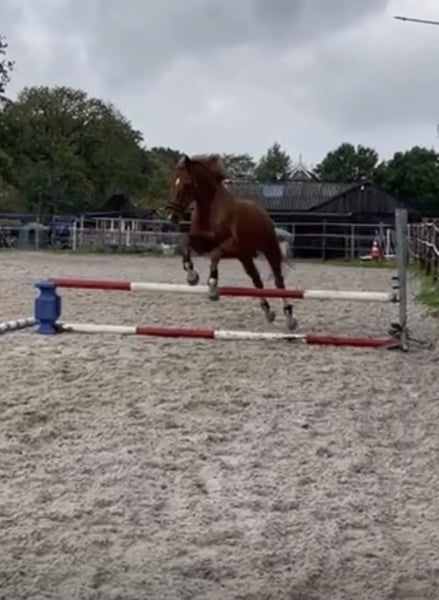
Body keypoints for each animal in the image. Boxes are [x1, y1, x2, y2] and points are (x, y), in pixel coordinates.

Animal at [167, 153, 297, 331]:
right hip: (245, 257)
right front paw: (192, 276)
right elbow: (185, 241)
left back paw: (289, 317)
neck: (210, 210)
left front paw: (212, 287)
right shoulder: (203, 245)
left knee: (279, 282)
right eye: (173, 181)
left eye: (186, 183)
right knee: (257, 281)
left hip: (269, 250)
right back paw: (268, 312)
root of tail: (262, 213)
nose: (171, 216)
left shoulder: (230, 247)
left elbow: (215, 256)